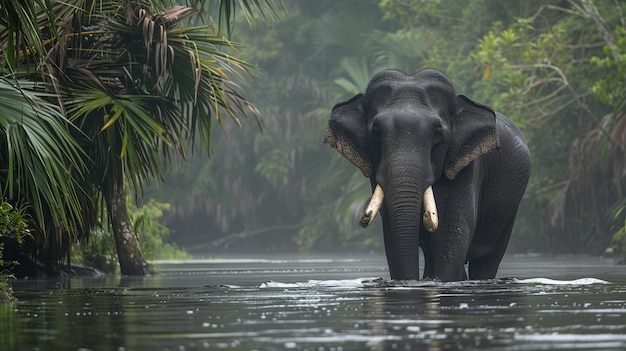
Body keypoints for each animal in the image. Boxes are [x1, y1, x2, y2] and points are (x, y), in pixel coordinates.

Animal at [324, 69, 528, 284]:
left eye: (438, 132)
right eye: (376, 131)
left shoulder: (468, 166)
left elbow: (450, 232)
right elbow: (392, 237)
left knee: (488, 260)